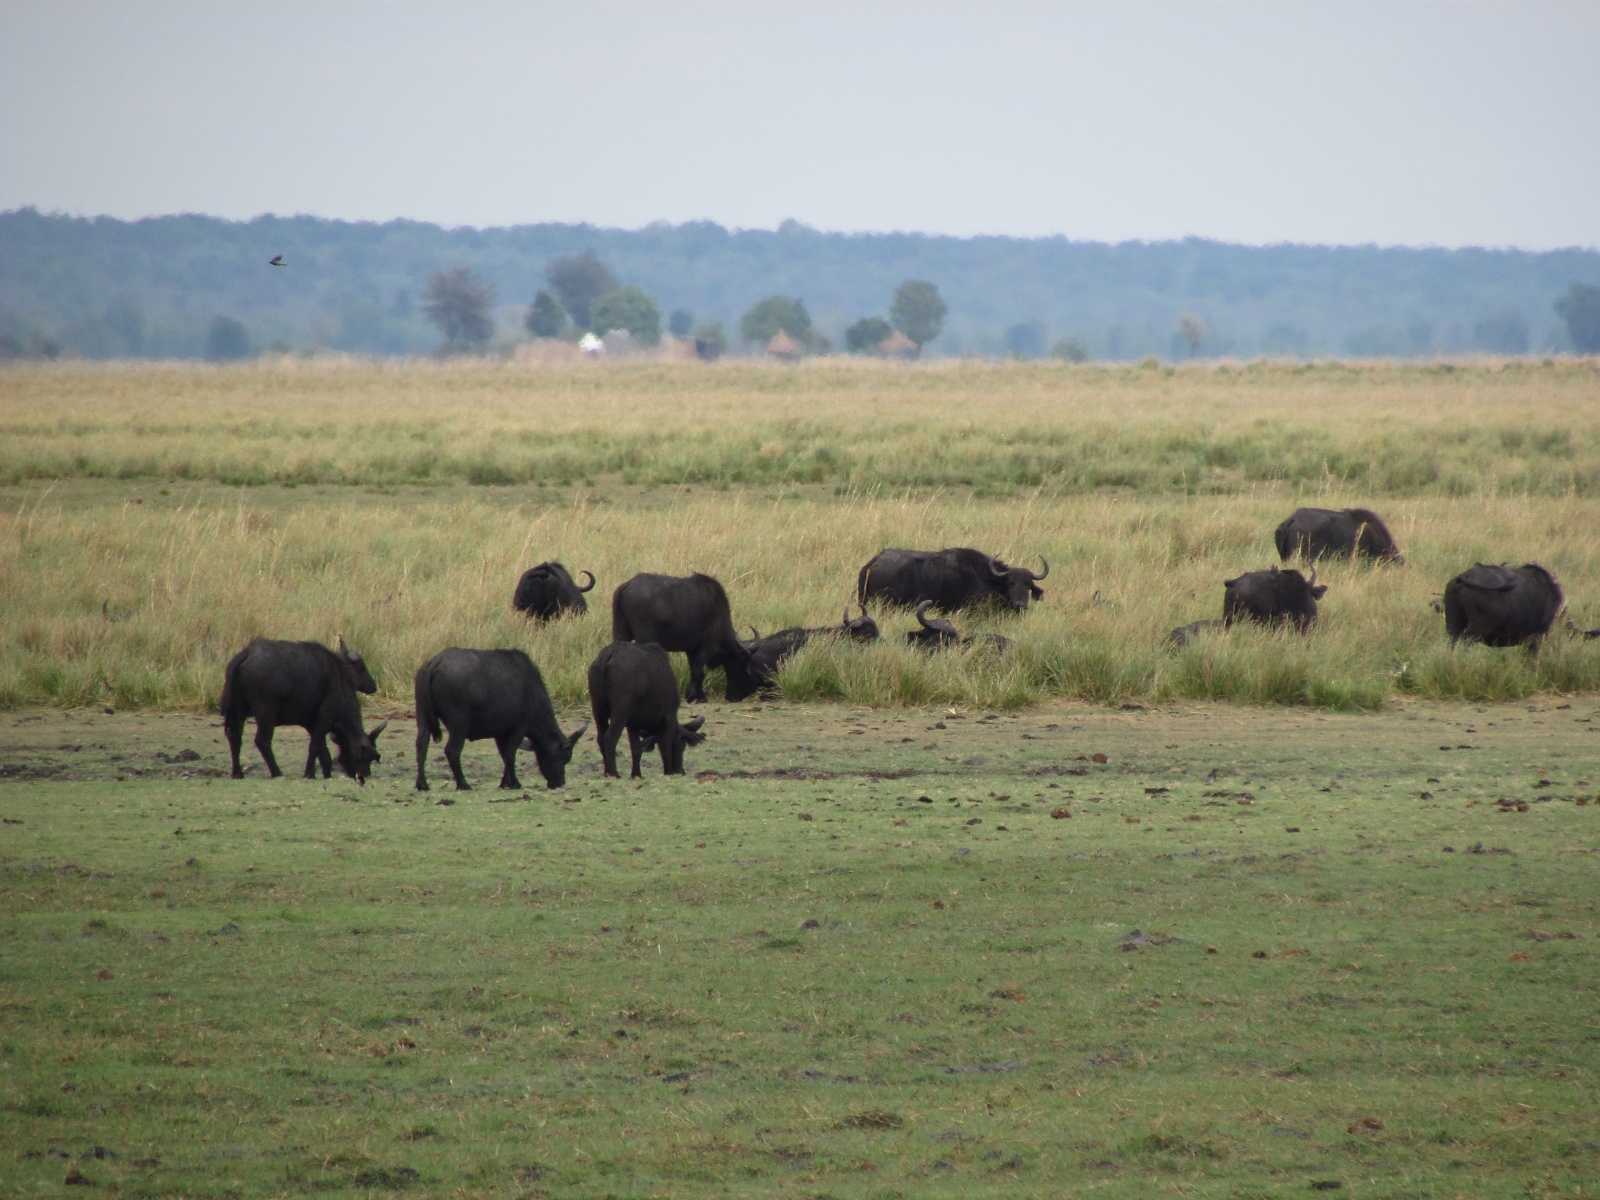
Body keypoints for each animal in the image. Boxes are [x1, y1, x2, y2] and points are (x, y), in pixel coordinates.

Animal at [221, 637, 387, 782]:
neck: (340, 681)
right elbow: (314, 747)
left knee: (234, 736)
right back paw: (277, 772)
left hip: (238, 710)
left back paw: (237, 773)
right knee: (262, 741)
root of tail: (248, 653)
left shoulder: (311, 724)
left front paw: (326, 773)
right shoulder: (324, 718)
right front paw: (309, 774)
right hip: (266, 714)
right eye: (369, 756)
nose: (365, 774)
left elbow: (323, 751)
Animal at [413, 648, 586, 790]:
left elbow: (504, 754)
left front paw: (510, 782)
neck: (532, 691)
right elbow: (510, 754)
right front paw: (510, 783)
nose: (559, 783)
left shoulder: (500, 733)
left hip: (423, 716)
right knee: (452, 750)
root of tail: (436, 662)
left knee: (421, 745)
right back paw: (463, 784)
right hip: (459, 725)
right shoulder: (520, 727)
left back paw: (422, 784)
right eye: (565, 757)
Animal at [588, 641, 707, 778]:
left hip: (598, 711)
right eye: (682, 746)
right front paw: (668, 772)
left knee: (601, 738)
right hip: (620, 712)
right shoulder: (668, 718)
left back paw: (606, 772)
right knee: (609, 737)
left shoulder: (633, 725)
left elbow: (636, 749)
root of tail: (609, 654)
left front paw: (636, 774)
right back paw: (614, 773)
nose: (680, 771)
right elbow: (665, 747)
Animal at [611, 572, 756, 702]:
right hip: (645, 637)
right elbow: (698, 671)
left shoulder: (691, 650)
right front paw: (695, 697)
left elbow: (693, 670)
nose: (734, 698)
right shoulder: (706, 646)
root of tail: (628, 585)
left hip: (621, 632)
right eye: (743, 666)